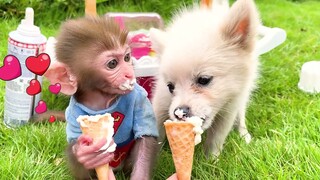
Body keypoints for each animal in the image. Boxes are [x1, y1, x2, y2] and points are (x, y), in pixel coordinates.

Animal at [44, 16, 159, 179]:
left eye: (127, 57)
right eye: (113, 63)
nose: (129, 73)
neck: (103, 99)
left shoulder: (140, 97)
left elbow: (145, 140)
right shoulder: (72, 112)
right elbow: (76, 146)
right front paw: (86, 155)